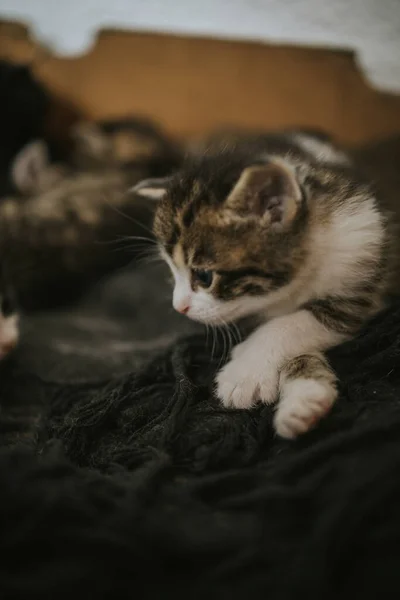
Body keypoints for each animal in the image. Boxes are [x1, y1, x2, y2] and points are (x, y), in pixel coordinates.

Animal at [132, 131, 394, 438]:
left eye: (204, 277)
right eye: (172, 272)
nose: (179, 307)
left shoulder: (362, 276)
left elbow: (291, 324)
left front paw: (246, 372)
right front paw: (303, 398)